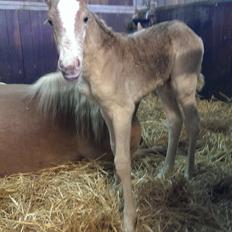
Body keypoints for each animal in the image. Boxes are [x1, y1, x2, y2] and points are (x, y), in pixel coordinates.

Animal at [44, 0, 203, 231]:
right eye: (50, 21)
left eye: (85, 18)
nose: (70, 67)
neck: (102, 61)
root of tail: (190, 31)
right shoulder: (106, 110)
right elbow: (113, 148)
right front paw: (116, 188)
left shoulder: (122, 111)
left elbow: (122, 159)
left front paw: (129, 219)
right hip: (164, 86)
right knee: (175, 121)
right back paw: (165, 172)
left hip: (184, 85)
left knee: (192, 123)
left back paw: (189, 173)